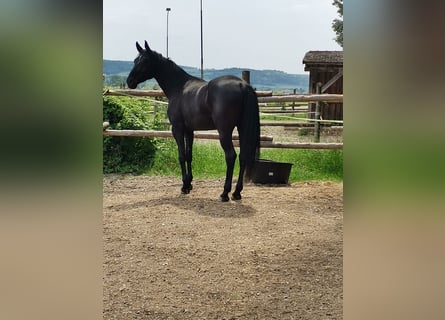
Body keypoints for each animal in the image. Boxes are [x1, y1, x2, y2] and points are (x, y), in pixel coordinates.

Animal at [125, 40, 260, 200]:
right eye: (135, 60)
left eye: (145, 61)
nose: (129, 81)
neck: (179, 87)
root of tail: (242, 85)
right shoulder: (189, 130)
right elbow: (189, 155)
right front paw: (189, 184)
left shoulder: (177, 128)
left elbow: (181, 155)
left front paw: (184, 186)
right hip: (242, 128)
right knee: (243, 156)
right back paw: (237, 192)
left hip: (224, 131)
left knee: (231, 156)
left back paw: (225, 193)